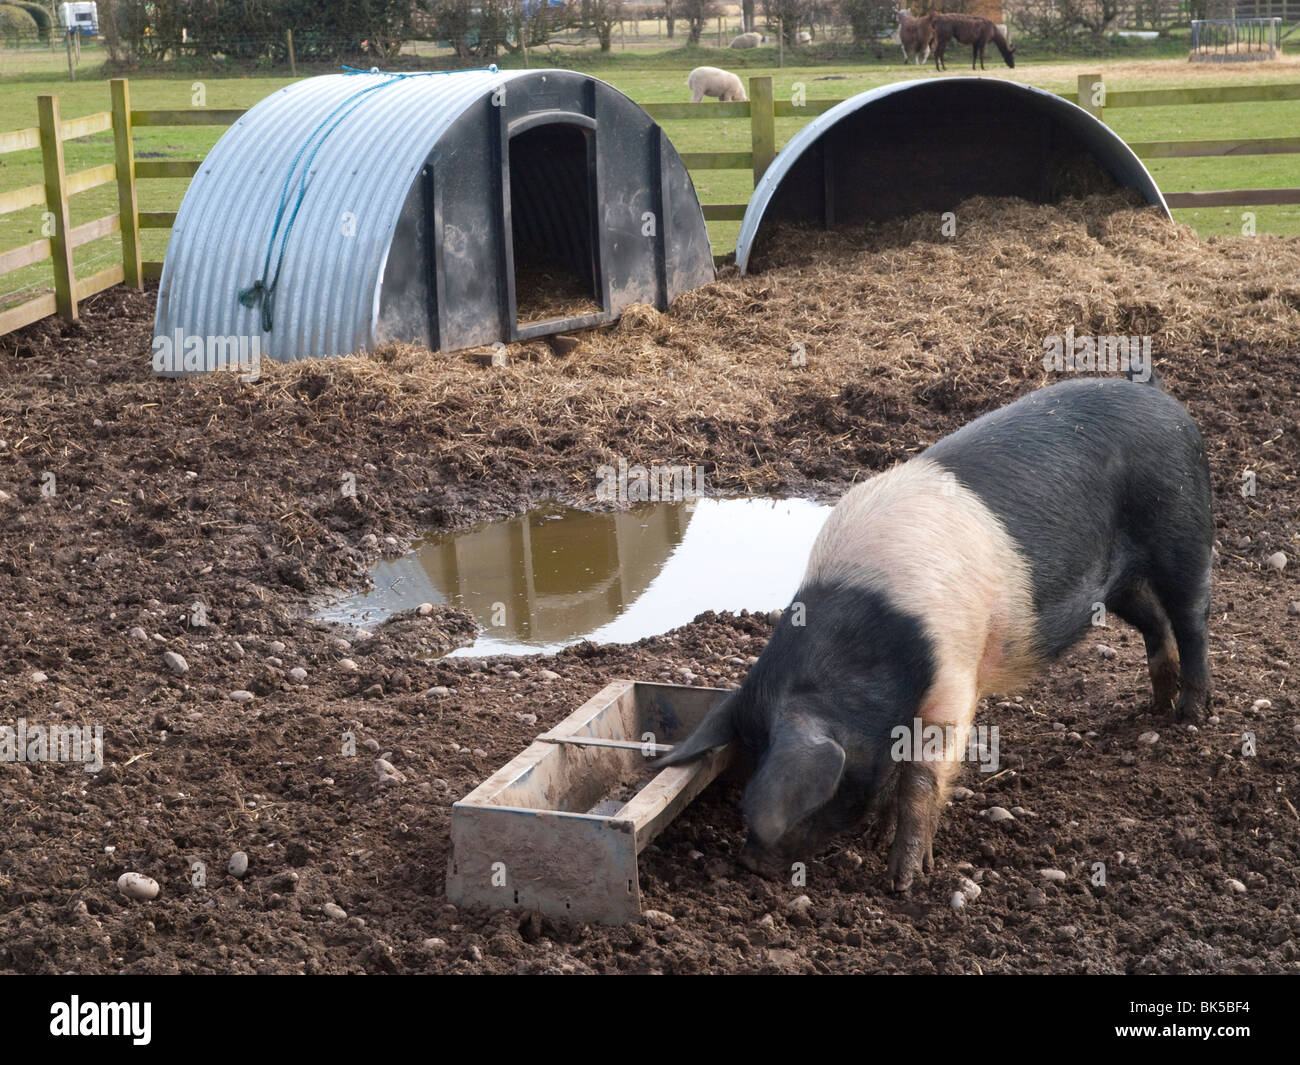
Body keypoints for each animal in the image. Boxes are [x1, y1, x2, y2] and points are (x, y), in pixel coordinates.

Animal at [657, 377, 1213, 891]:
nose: (751, 864)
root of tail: (1164, 400)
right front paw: (879, 838)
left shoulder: (953, 678)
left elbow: (922, 776)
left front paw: (903, 881)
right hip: (1116, 582)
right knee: (1154, 621)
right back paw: (1157, 705)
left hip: (1183, 528)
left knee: (1192, 616)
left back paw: (1189, 715)